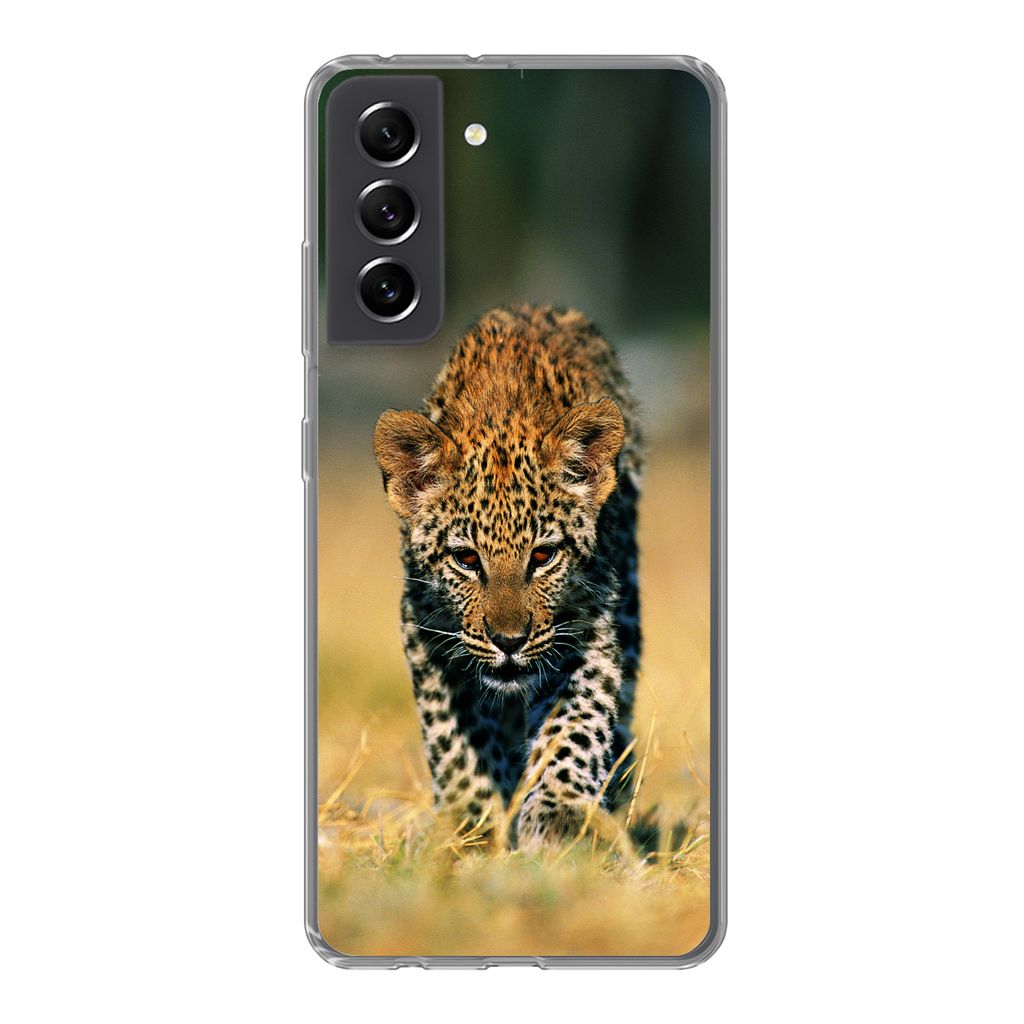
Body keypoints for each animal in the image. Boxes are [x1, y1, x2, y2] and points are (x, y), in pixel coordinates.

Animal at [373, 304, 643, 847]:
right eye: (466, 560)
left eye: (542, 556)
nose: (509, 641)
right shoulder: (426, 630)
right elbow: (455, 741)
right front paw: (473, 823)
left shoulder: (587, 629)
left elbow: (573, 727)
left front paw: (561, 818)